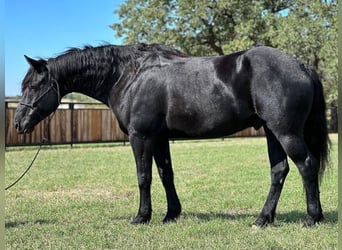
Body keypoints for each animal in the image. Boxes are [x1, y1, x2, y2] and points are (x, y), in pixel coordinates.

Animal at [13, 44, 328, 228]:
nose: (18, 123)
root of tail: (301, 66)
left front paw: (142, 217)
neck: (130, 76)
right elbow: (166, 174)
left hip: (285, 132)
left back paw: (312, 218)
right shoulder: (159, 138)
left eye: (33, 86)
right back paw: (263, 219)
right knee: (279, 171)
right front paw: (171, 214)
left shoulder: (141, 137)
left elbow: (144, 177)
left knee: (306, 166)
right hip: (271, 132)